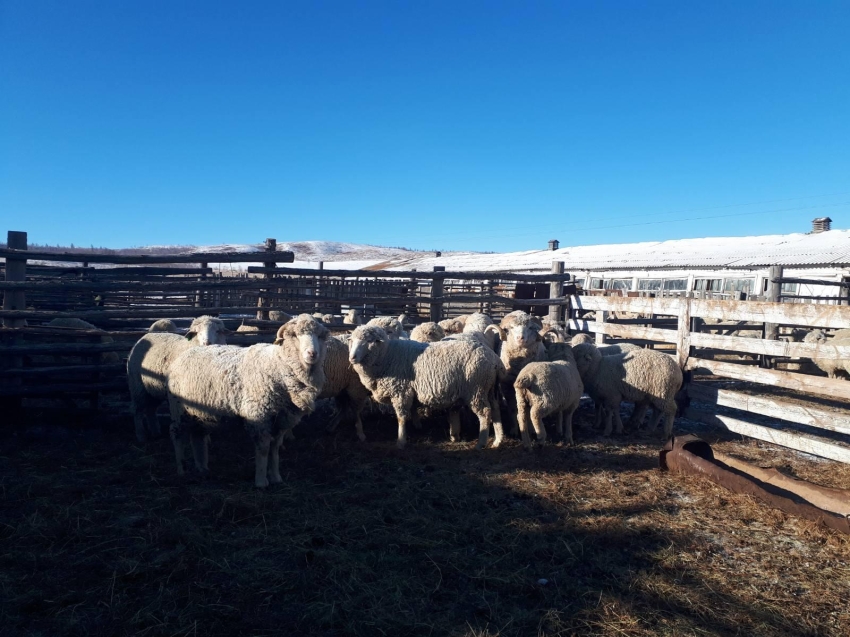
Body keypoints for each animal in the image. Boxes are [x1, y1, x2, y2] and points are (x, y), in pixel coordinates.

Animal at [126, 314, 229, 442]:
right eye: (197, 332)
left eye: (217, 331)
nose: (207, 343)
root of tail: (146, 335)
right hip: (137, 385)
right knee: (137, 410)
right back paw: (141, 436)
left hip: (153, 387)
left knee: (150, 409)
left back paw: (156, 432)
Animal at [166, 314, 328, 486]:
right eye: (295, 335)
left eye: (319, 336)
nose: (312, 353)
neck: (278, 365)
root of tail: (184, 355)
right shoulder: (259, 416)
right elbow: (264, 449)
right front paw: (261, 481)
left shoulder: (282, 419)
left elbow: (275, 449)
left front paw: (276, 477)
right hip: (178, 408)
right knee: (176, 433)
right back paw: (181, 470)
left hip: (199, 413)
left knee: (197, 436)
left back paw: (202, 468)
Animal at [346, 326, 504, 450]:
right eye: (352, 341)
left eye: (369, 341)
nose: (352, 358)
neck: (387, 355)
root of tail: (494, 359)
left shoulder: (400, 392)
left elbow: (401, 418)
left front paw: (401, 441)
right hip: (489, 389)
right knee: (496, 410)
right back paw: (498, 440)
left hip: (476, 390)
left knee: (485, 413)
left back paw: (481, 443)